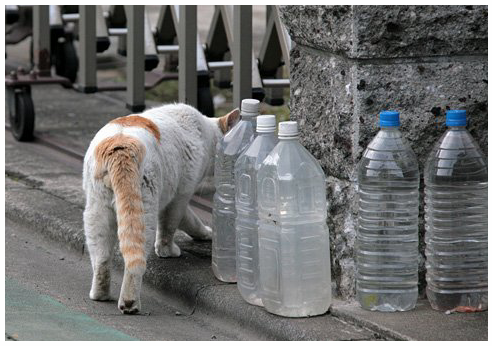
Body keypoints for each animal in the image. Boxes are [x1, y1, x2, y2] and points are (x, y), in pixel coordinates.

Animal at [82, 102, 238, 314]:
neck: (206, 133)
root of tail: (120, 147)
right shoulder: (180, 196)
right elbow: (171, 225)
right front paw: (167, 250)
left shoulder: (176, 196)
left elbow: (190, 220)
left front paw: (205, 233)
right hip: (144, 212)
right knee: (135, 260)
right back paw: (129, 303)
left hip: (97, 212)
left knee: (101, 258)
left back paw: (100, 294)